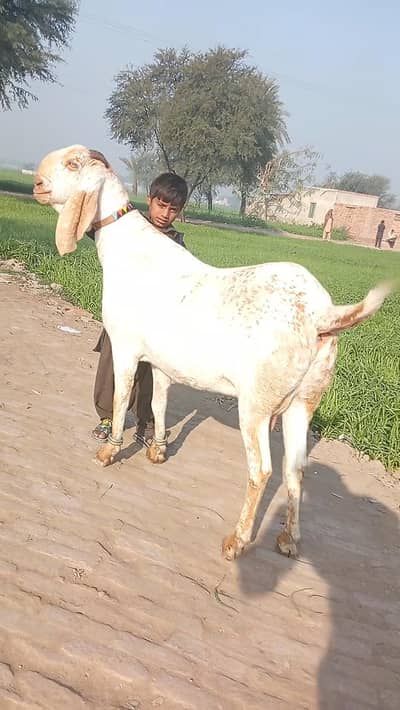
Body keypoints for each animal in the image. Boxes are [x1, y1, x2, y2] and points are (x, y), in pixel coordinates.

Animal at [33, 145, 391, 560]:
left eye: (73, 164)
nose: (37, 183)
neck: (129, 248)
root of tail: (322, 313)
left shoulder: (125, 347)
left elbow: (123, 398)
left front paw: (109, 452)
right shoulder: (161, 362)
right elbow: (158, 402)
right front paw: (158, 450)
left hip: (256, 403)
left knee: (262, 470)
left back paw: (237, 541)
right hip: (306, 399)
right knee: (296, 468)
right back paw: (288, 539)